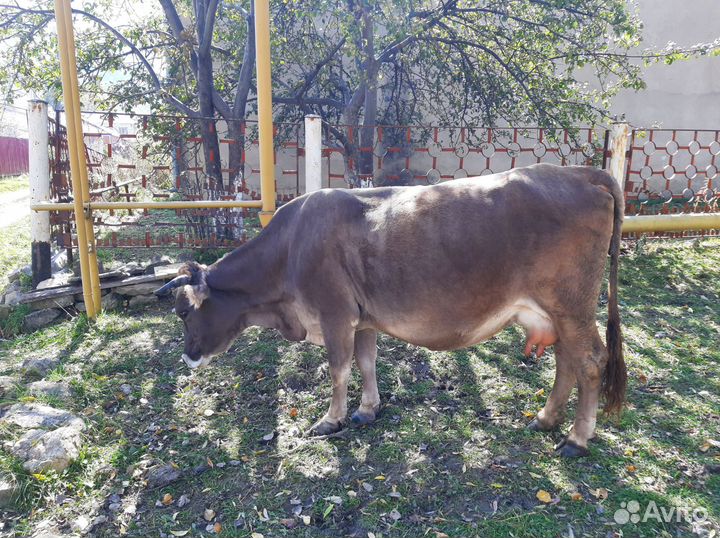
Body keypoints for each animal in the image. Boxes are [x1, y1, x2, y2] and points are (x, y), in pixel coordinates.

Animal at [155, 163, 626, 458]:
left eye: (183, 313)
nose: (188, 356)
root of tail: (580, 172)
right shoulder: (363, 318)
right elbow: (366, 363)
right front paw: (367, 409)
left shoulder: (335, 315)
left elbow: (339, 369)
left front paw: (330, 420)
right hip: (557, 312)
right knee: (566, 360)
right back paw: (545, 419)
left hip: (571, 305)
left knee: (589, 361)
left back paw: (577, 438)